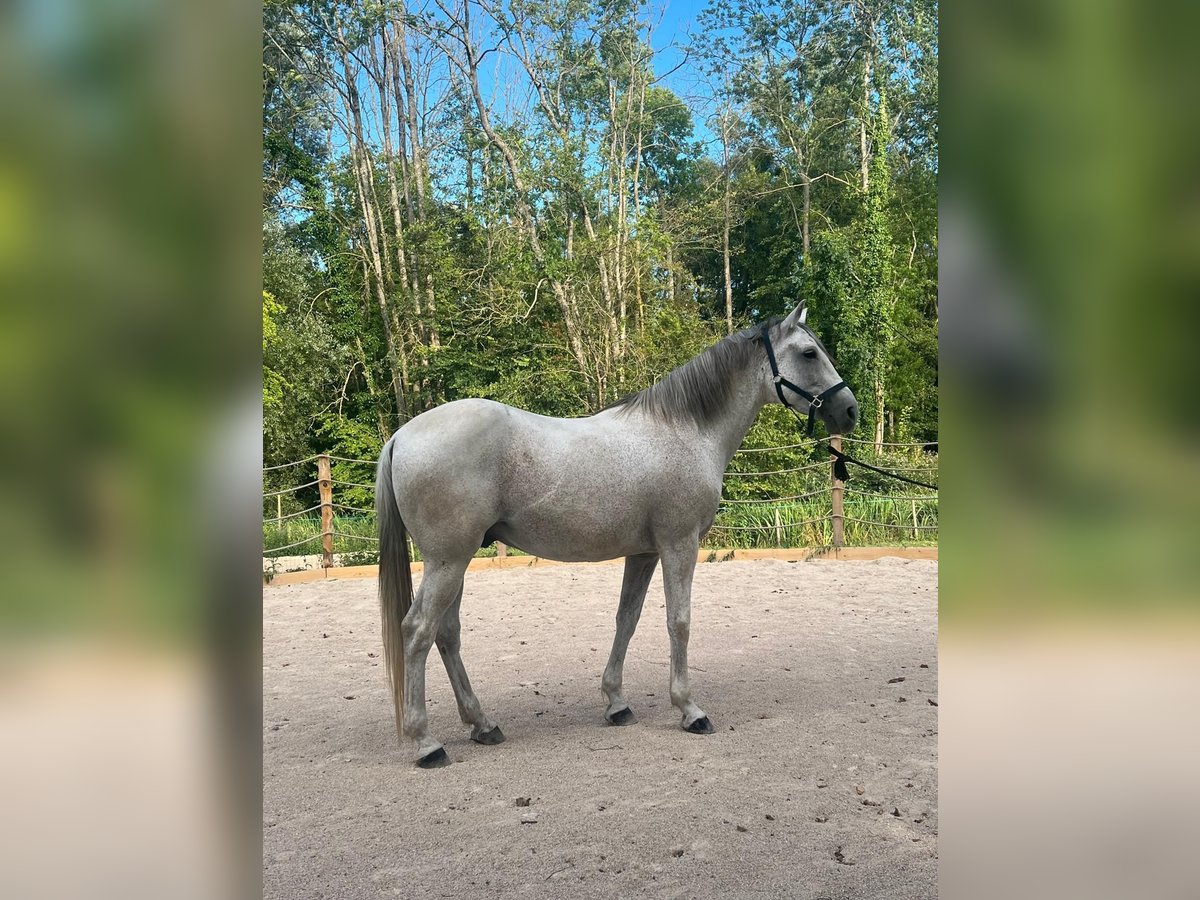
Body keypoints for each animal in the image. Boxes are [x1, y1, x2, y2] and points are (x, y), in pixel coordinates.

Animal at [374, 303, 854, 768]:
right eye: (809, 353)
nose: (849, 411)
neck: (684, 431)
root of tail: (402, 435)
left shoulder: (643, 553)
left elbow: (628, 618)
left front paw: (616, 703)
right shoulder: (679, 545)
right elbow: (678, 622)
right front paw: (689, 710)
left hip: (456, 560)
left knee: (447, 634)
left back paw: (482, 724)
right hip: (449, 560)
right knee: (418, 631)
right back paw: (427, 743)